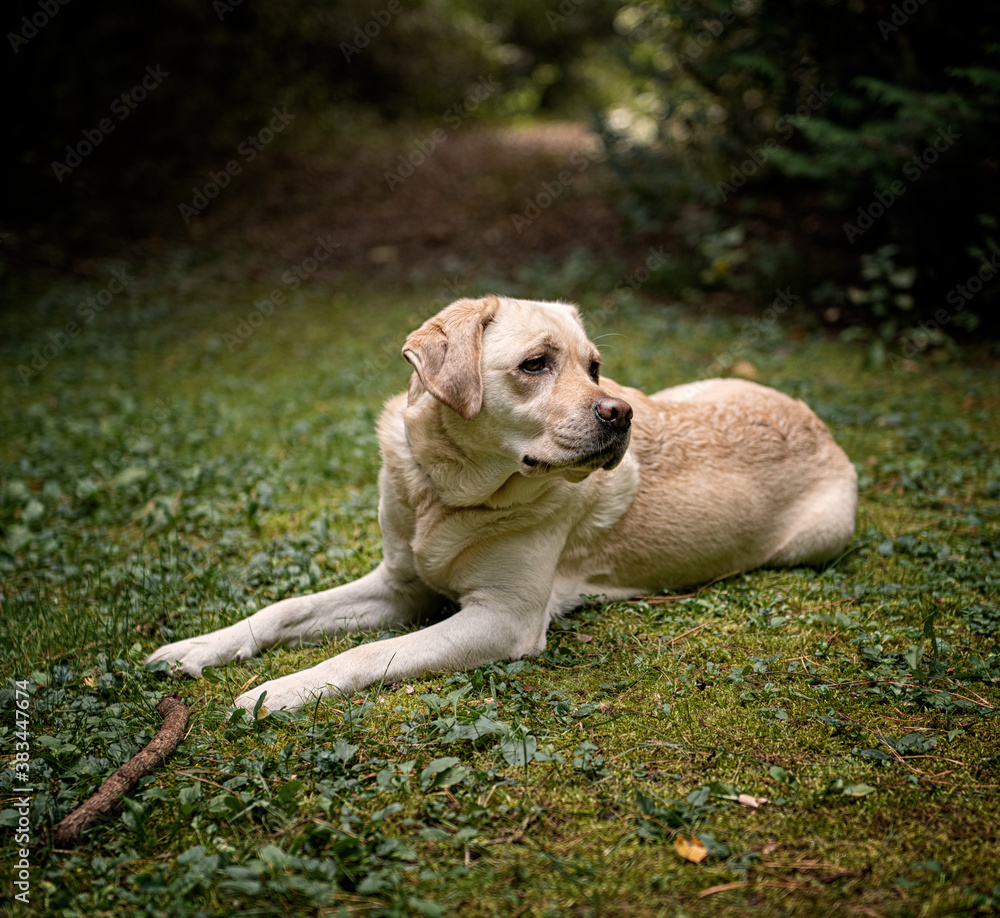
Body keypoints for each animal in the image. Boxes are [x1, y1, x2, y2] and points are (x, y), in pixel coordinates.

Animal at [145, 294, 856, 712]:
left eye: (594, 367)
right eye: (536, 364)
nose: (621, 415)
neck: (445, 494)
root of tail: (820, 423)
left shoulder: (500, 618)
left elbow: (367, 654)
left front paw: (282, 689)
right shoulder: (398, 585)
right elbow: (283, 608)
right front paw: (200, 648)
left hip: (813, 541)